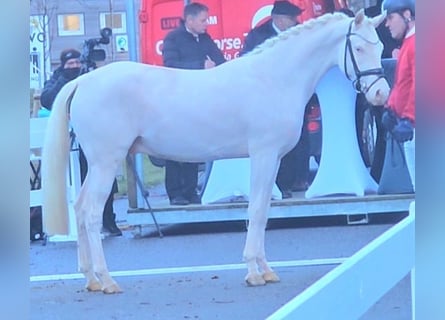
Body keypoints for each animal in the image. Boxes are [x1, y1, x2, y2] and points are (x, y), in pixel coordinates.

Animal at [41, 11, 388, 294]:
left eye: (380, 48)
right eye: (358, 49)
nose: (381, 94)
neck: (273, 77)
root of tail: (84, 80)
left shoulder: (274, 159)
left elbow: (263, 211)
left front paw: (266, 270)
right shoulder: (263, 154)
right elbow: (256, 211)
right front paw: (253, 272)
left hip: (98, 163)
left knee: (80, 207)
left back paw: (90, 279)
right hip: (106, 161)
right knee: (91, 213)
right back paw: (107, 280)